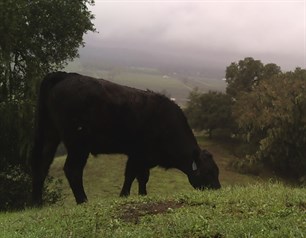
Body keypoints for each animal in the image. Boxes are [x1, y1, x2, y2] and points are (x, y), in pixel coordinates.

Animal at [31, 71, 220, 205]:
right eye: (209, 172)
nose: (218, 189)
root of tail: (66, 75)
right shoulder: (138, 154)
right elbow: (133, 175)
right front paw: (126, 195)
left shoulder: (142, 157)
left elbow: (140, 176)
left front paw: (141, 195)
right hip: (78, 143)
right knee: (72, 170)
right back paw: (83, 201)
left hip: (50, 135)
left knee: (42, 165)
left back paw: (37, 203)